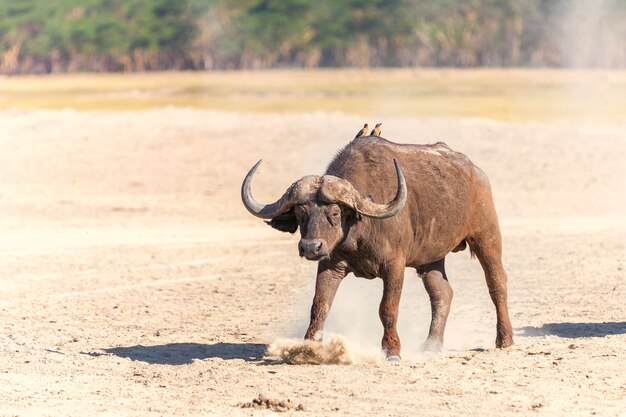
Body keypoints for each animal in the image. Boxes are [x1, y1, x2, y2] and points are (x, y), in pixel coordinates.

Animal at [240, 136, 512, 358]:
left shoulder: (394, 266)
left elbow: (387, 308)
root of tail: (476, 172)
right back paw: (431, 345)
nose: (310, 247)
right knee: (442, 293)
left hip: (487, 236)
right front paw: (308, 348)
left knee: (497, 284)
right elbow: (320, 305)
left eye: (335, 212)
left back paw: (504, 339)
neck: (359, 228)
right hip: (431, 259)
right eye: (299, 212)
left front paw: (392, 350)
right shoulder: (330, 265)